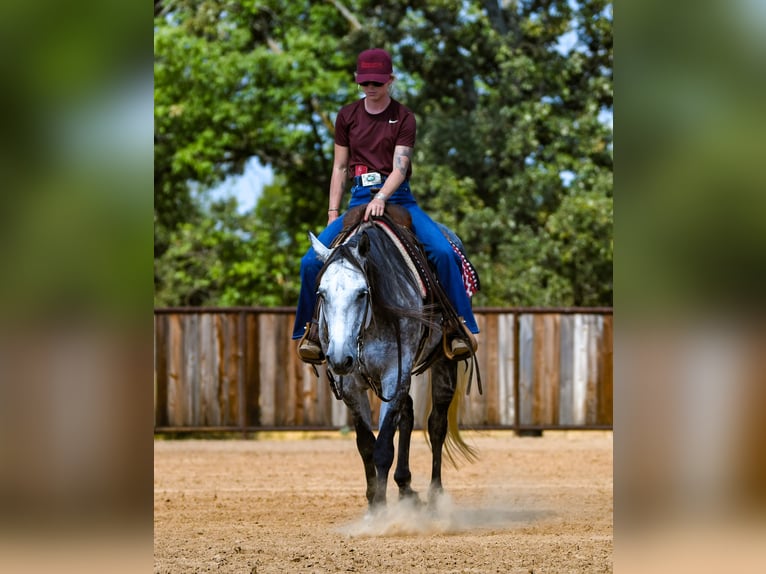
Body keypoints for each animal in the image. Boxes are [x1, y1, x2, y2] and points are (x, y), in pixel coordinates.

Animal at [308, 215, 477, 511]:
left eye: (362, 293)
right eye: (321, 293)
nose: (340, 358)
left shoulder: (394, 374)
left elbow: (384, 447)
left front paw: (381, 510)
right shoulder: (351, 385)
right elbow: (366, 445)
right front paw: (374, 504)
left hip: (443, 363)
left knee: (436, 424)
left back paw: (435, 494)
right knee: (407, 414)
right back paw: (405, 486)